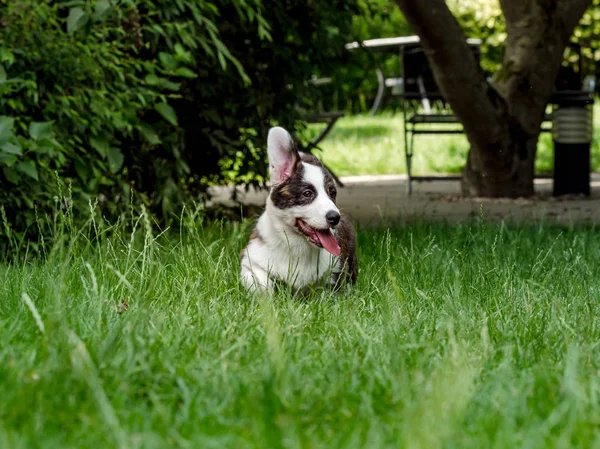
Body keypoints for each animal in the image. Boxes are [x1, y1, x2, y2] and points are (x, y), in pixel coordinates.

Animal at [239, 126, 356, 294]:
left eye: (332, 193)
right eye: (307, 194)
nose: (335, 218)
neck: (297, 244)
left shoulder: (336, 269)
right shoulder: (249, 261)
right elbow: (262, 284)